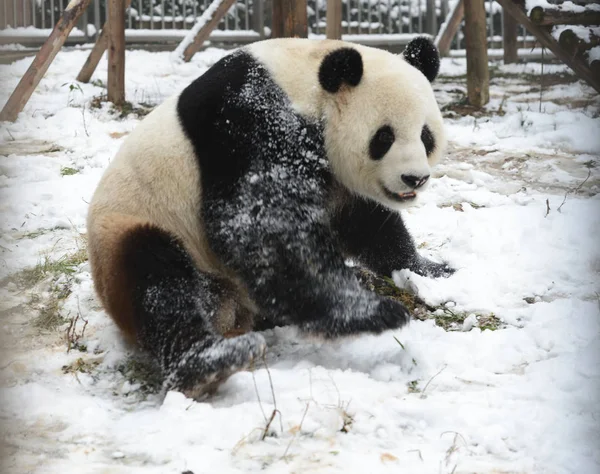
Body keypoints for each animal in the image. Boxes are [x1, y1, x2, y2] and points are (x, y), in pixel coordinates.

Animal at [88, 38, 450, 400]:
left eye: (426, 136)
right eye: (384, 137)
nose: (415, 178)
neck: (307, 83)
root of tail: (231, 311)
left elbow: (368, 225)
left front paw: (431, 271)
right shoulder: (246, 122)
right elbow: (261, 224)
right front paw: (367, 312)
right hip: (136, 225)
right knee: (155, 278)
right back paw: (209, 362)